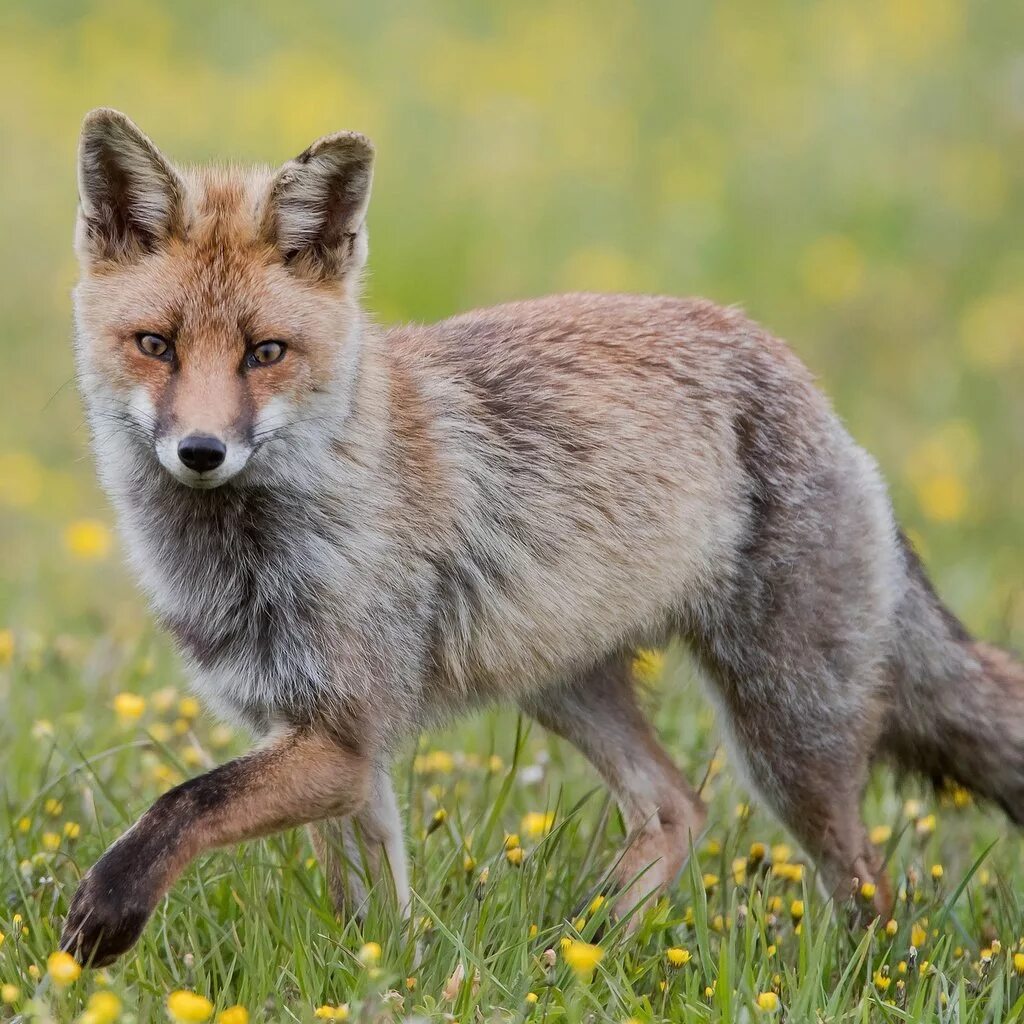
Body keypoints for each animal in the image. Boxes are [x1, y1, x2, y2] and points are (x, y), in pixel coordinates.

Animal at [66, 108, 1024, 962]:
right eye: (156, 344)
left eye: (265, 353)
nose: (201, 451)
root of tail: (793, 369)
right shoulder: (328, 741)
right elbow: (368, 912)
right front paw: (385, 977)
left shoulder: (344, 734)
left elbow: (185, 802)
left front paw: (108, 911)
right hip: (566, 685)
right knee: (677, 809)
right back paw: (585, 954)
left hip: (787, 733)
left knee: (867, 880)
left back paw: (864, 974)